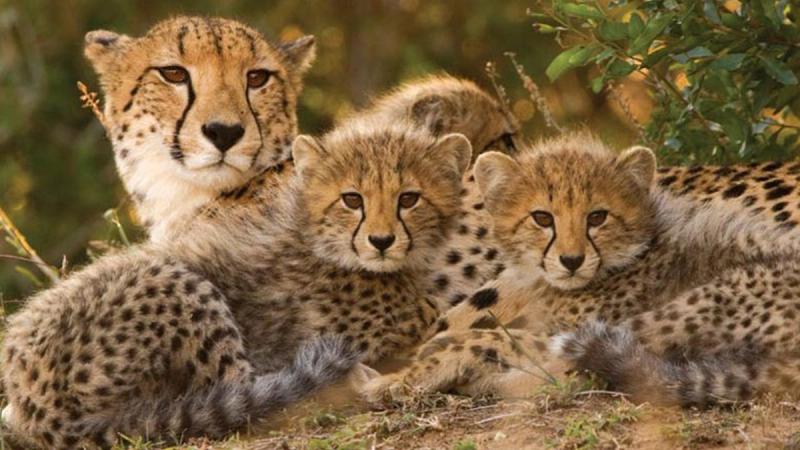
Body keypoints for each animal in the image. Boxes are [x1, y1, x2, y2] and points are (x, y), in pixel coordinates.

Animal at [1, 122, 472, 448]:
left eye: (409, 198)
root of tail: (33, 408)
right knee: (246, 395)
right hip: (180, 284)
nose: (381, 241)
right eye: (351, 199)